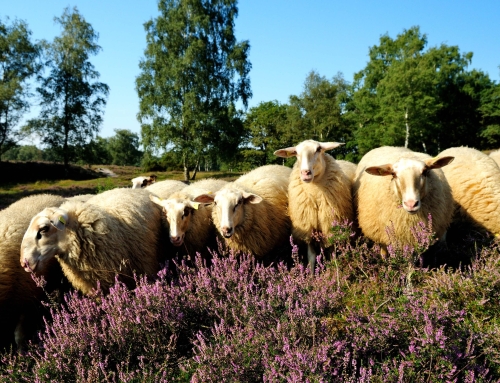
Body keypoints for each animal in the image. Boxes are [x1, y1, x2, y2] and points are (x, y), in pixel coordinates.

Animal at [274, 140, 356, 270]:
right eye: (296, 152)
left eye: (318, 149)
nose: (305, 173)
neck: (315, 193)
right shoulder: (308, 229)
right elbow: (311, 257)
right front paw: (312, 274)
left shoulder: (330, 226)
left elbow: (332, 254)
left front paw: (334, 271)